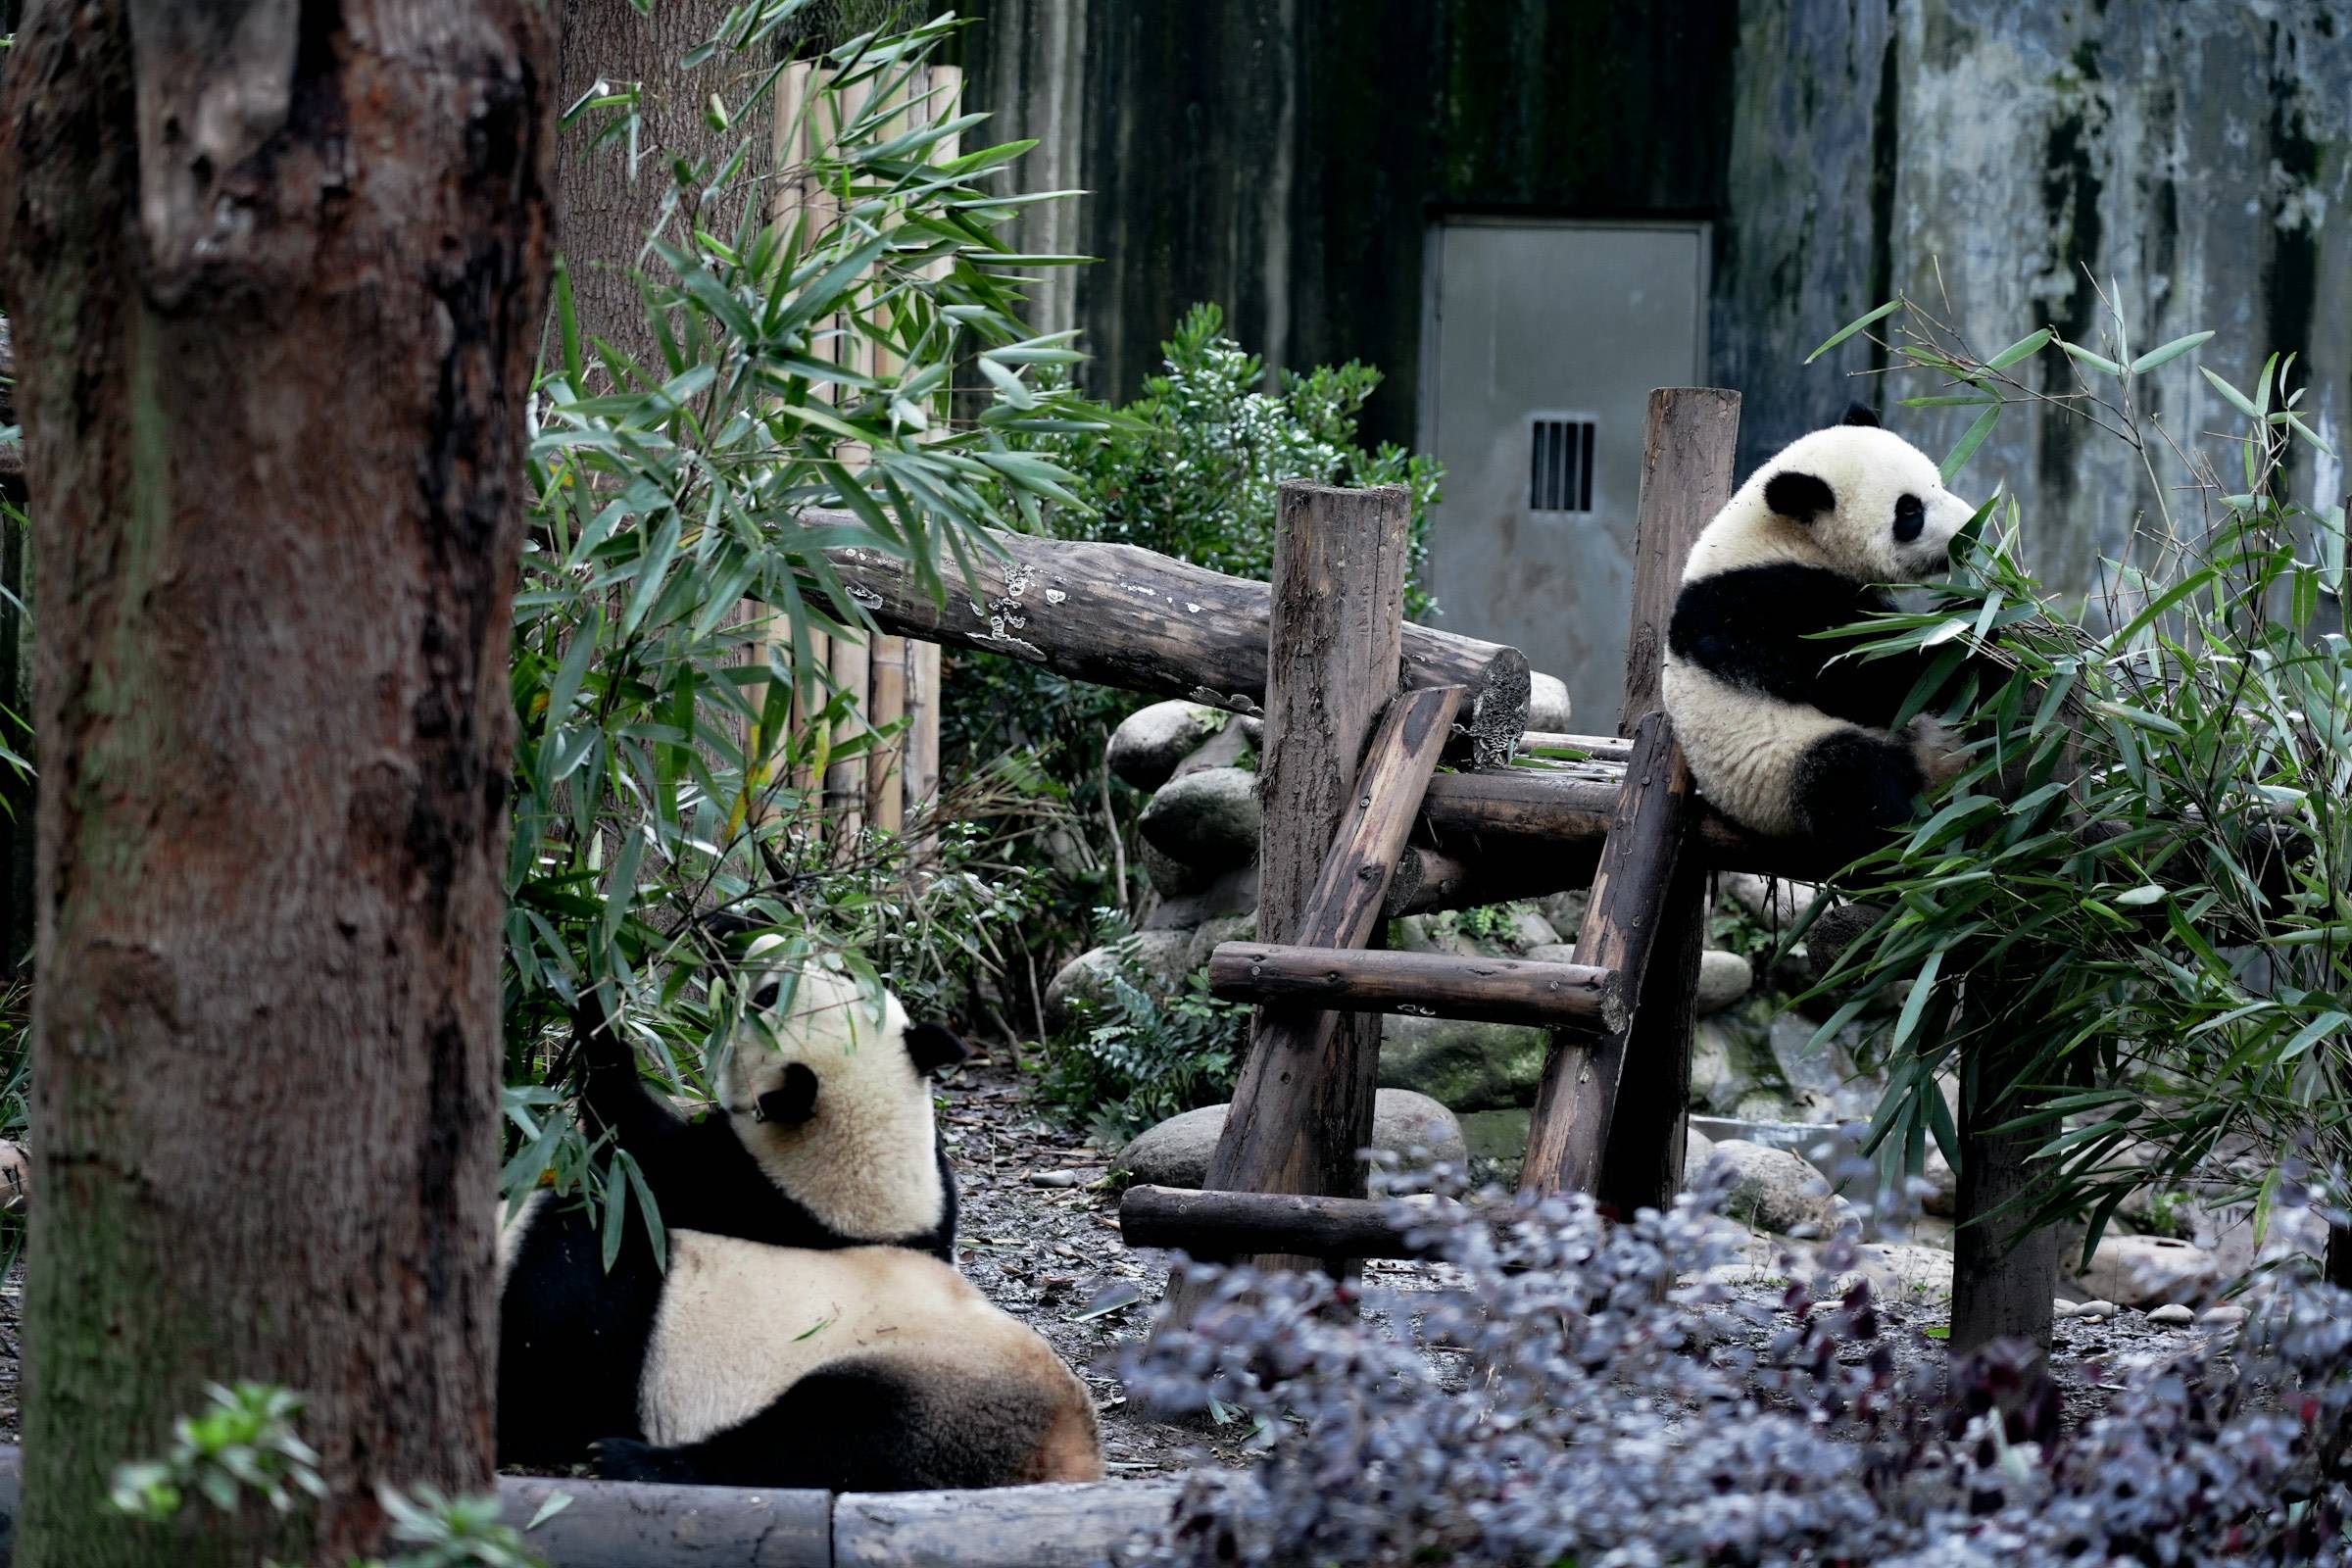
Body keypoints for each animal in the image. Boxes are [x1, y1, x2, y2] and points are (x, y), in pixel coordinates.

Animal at [497, 1222, 1104, 1491]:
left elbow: (546, 1394)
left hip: (937, 1383)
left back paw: (631, 1460)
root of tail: (1074, 1433)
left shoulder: (572, 1296)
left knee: (818, 1440)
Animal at [573, 941, 967, 1261]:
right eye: (844, 970)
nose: (765, 942)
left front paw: (600, 1011)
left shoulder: (734, 1191)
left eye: (768, 996)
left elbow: (635, 1150)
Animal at [1661, 404, 1983, 868]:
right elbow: (1870, 681)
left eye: (1937, 482)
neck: (1783, 536)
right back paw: (1911, 846)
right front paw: (1973, 636)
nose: (1971, 530)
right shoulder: (1768, 604)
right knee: (1852, 778)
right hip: (1777, 771)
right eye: (1909, 511)